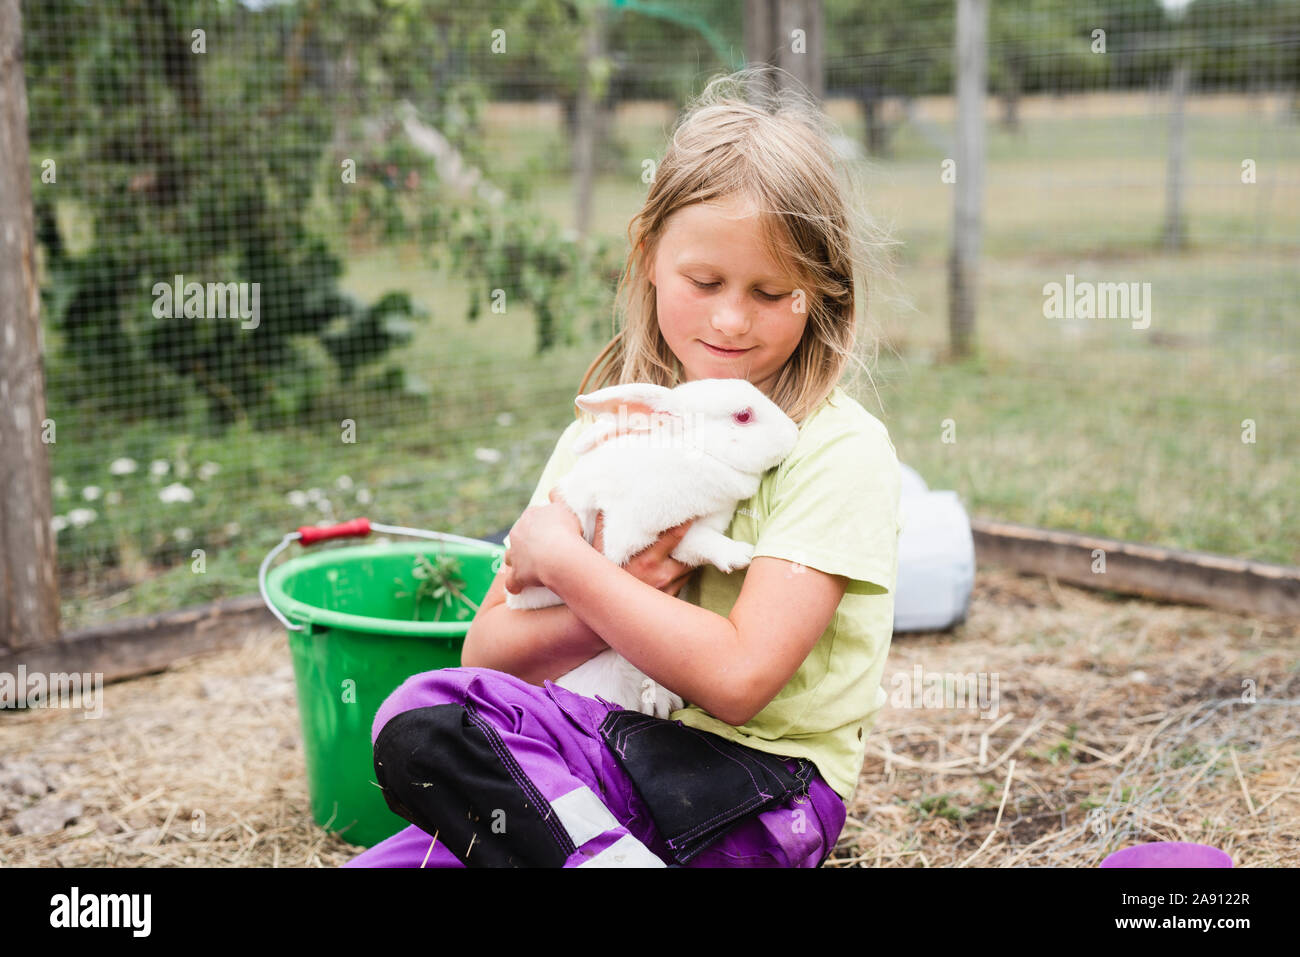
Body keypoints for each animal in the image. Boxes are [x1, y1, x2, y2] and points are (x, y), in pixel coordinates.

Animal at [504, 377, 801, 718]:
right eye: (743, 416)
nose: (793, 433)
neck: (695, 451)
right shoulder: (633, 532)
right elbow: (695, 539)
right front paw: (739, 555)